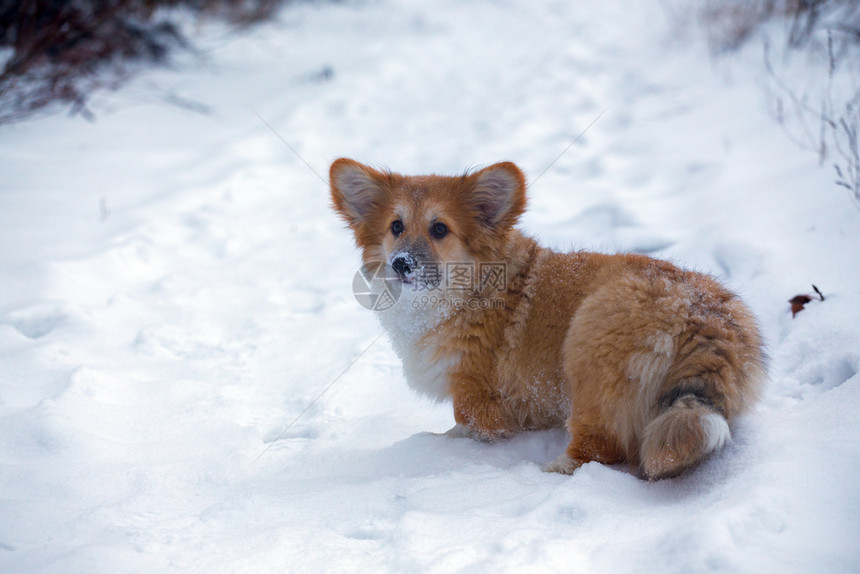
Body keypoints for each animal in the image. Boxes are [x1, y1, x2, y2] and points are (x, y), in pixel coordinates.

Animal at [330, 159, 764, 482]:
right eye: (395, 226)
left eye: (440, 229)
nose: (401, 263)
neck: (467, 294)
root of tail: (702, 315)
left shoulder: (478, 399)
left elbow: (463, 426)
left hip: (588, 344)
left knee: (601, 447)